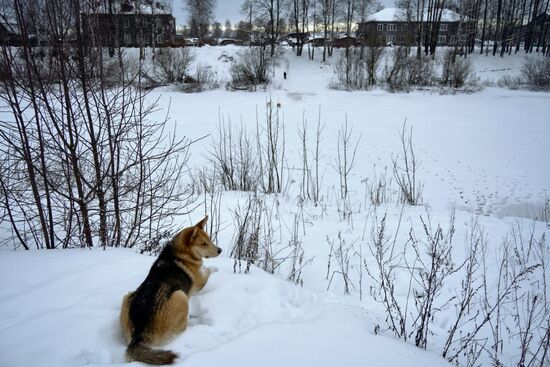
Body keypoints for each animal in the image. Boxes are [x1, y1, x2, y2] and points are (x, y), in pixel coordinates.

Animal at [121, 217, 222, 366]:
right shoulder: (200, 282)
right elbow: (209, 270)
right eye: (204, 244)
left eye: (209, 240)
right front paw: (217, 269)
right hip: (181, 296)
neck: (183, 253)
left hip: (127, 296)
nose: (220, 250)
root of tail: (139, 335)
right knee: (181, 329)